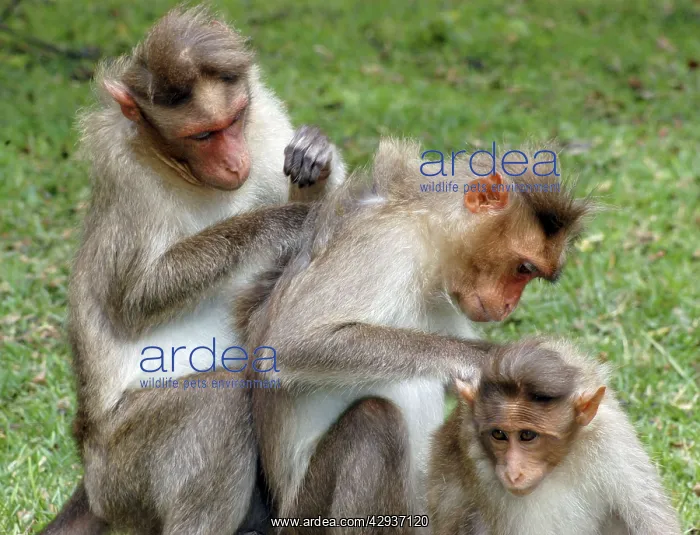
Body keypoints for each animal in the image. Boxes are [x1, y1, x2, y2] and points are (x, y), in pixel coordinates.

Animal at [40, 7, 345, 535]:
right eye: (203, 135)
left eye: (235, 119)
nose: (235, 161)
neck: (182, 169)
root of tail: (91, 483)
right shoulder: (126, 176)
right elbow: (135, 299)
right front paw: (283, 221)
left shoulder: (266, 125)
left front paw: (317, 157)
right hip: (122, 471)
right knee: (217, 396)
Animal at [234, 138, 592, 529]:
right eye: (523, 268)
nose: (511, 305)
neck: (428, 231)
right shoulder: (388, 244)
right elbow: (292, 342)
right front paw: (486, 357)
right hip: (305, 515)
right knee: (375, 419)